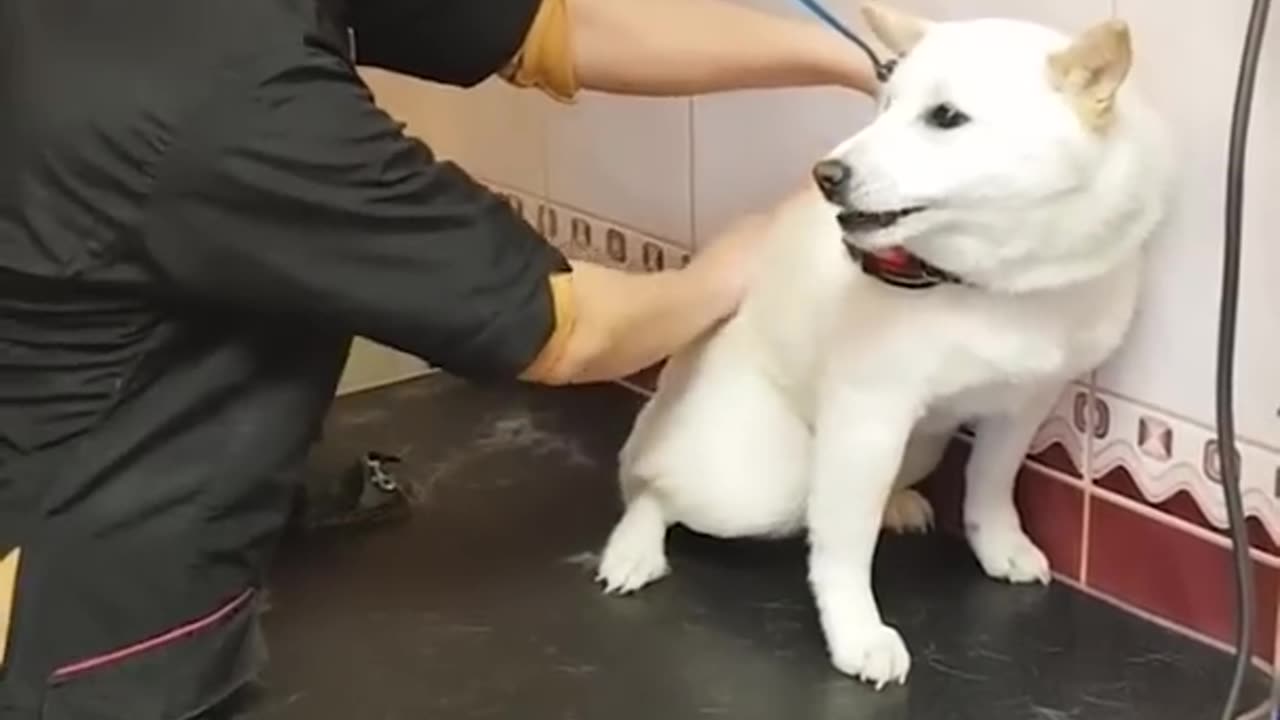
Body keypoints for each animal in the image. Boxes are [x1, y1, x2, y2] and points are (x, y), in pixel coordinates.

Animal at [591, 2, 1172, 686]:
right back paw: (633, 548)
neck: (991, 287)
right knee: (653, 487)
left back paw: (897, 504)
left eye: (944, 116)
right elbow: (843, 545)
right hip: (760, 482)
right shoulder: (869, 414)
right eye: (886, 103)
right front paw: (857, 635)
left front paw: (999, 545)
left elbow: (990, 485)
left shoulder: (1024, 405)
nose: (826, 174)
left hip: (919, 444)